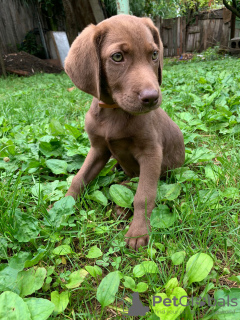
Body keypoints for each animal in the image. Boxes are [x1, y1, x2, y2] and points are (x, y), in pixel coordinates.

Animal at [64, 14, 185, 250]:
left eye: (154, 54)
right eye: (117, 57)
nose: (152, 97)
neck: (114, 111)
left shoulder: (151, 153)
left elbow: (144, 195)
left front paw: (138, 232)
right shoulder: (98, 149)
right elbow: (79, 178)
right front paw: (62, 206)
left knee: (137, 182)